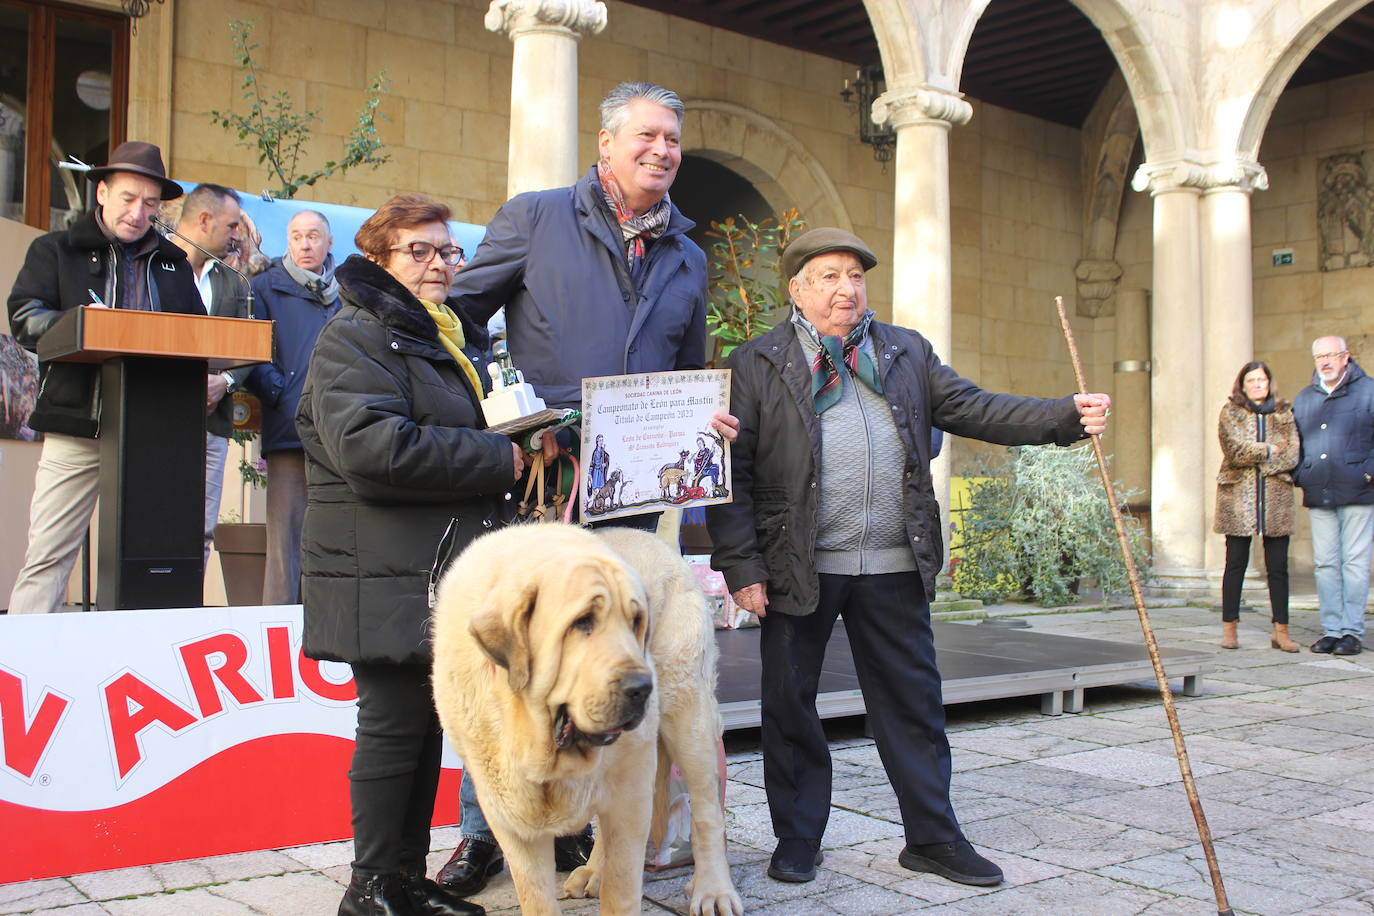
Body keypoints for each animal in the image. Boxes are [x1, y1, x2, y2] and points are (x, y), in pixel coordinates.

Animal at [434, 521, 747, 916]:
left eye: (636, 622)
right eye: (583, 622)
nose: (643, 687)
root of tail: (659, 540)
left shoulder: (631, 790)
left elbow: (621, 890)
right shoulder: (511, 817)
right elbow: (536, 896)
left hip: (688, 717)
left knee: (706, 808)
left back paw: (713, 889)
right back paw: (594, 871)